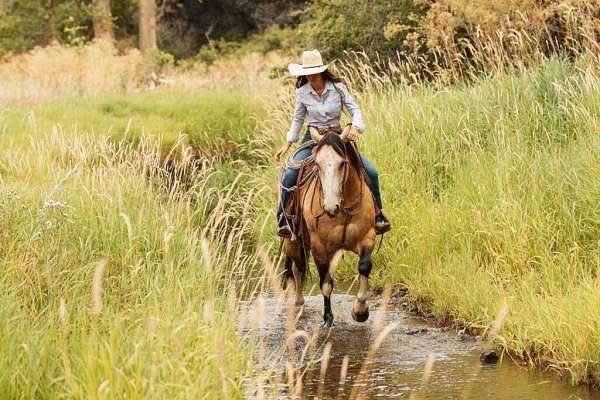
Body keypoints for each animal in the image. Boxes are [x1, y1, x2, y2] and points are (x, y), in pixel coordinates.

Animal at [282, 126, 376, 328]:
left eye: (343, 163)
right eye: (317, 164)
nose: (330, 207)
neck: (344, 208)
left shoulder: (367, 236)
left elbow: (364, 266)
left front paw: (360, 311)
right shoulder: (320, 247)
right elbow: (325, 283)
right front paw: (327, 318)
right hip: (291, 241)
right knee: (297, 267)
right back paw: (298, 303)